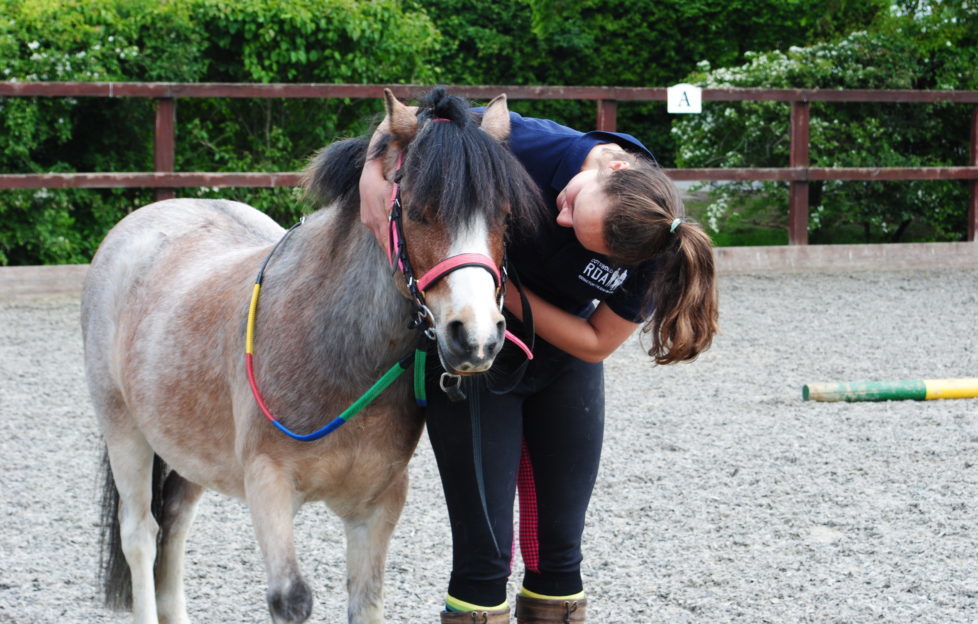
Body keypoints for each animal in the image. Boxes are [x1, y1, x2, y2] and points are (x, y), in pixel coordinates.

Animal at [81, 89, 540, 624]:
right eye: (418, 212)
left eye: (504, 218)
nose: (477, 338)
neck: (338, 354)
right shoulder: (268, 486)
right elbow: (292, 598)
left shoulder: (376, 506)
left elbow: (367, 602)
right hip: (124, 430)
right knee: (141, 535)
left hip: (187, 448)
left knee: (174, 521)